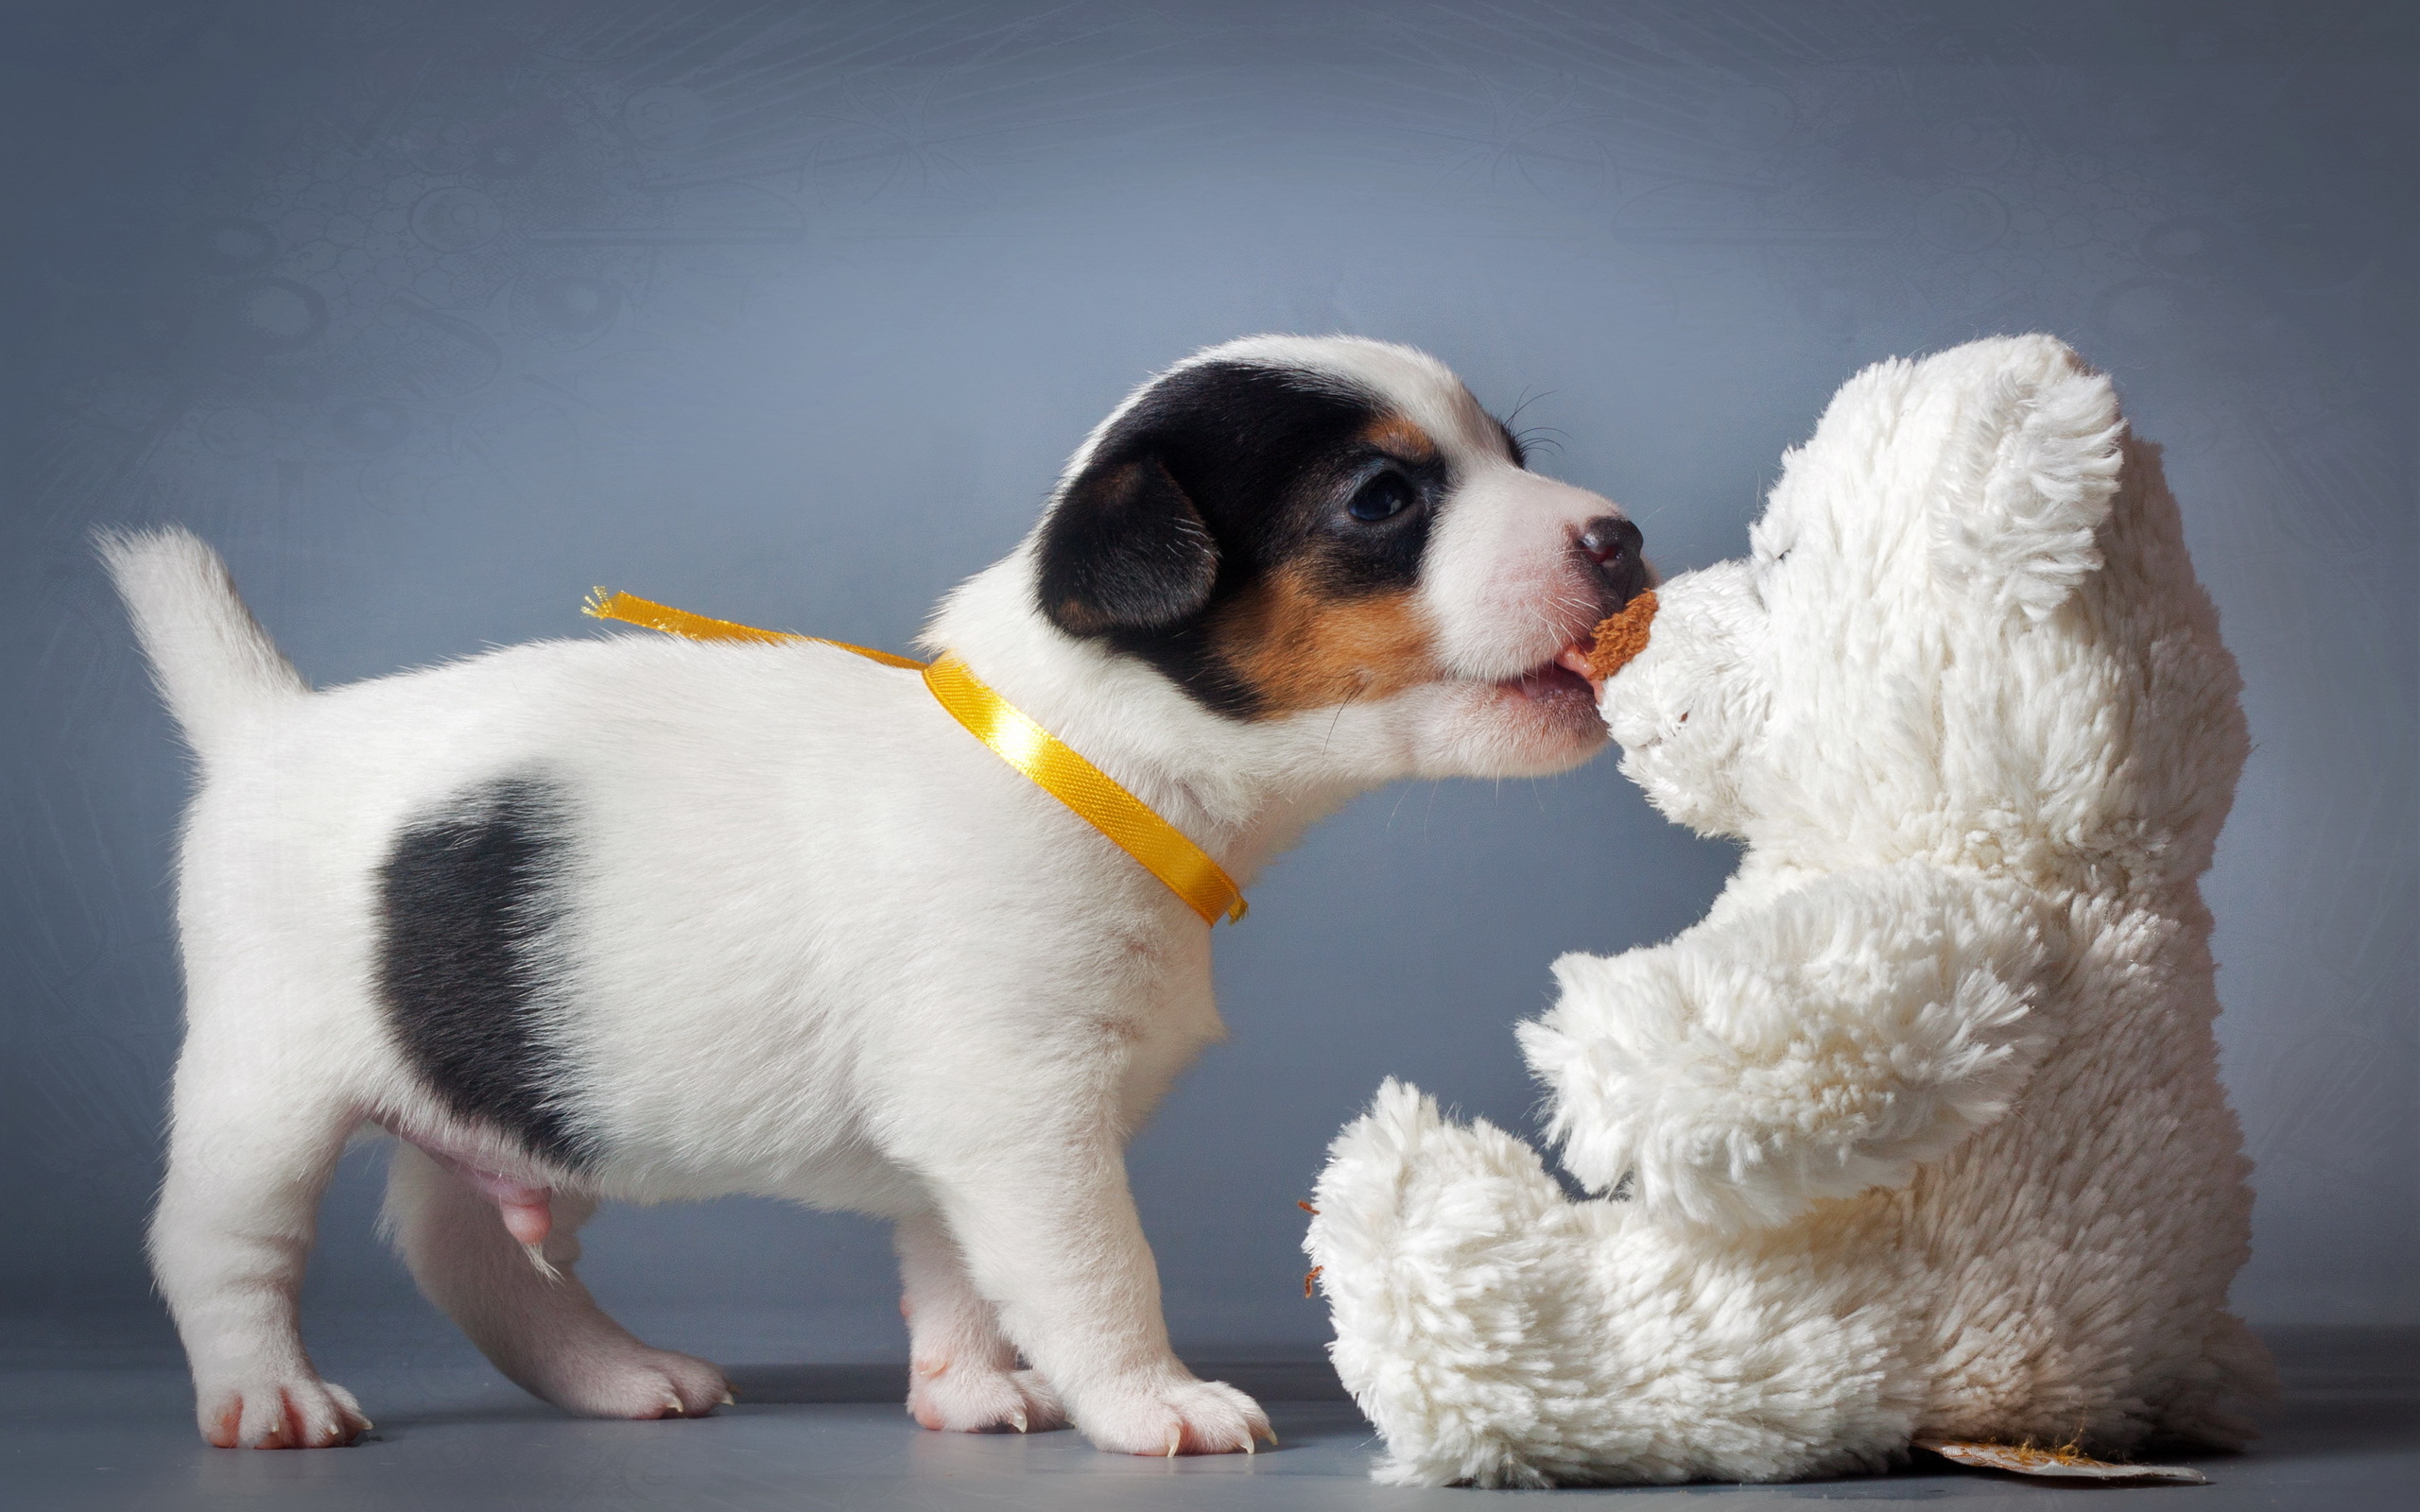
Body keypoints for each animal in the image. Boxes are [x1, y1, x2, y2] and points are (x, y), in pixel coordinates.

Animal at [98, 334, 1645, 1452]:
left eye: (1511, 457)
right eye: (1383, 498)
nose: (1621, 537)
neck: (1082, 755)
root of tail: (266, 727)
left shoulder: (960, 1148)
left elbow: (955, 1273)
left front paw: (966, 1394)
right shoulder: (1022, 1123)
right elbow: (1096, 1270)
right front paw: (1150, 1400)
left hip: (505, 1087)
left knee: (467, 1250)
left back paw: (614, 1376)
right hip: (268, 1083)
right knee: (218, 1243)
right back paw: (265, 1395)